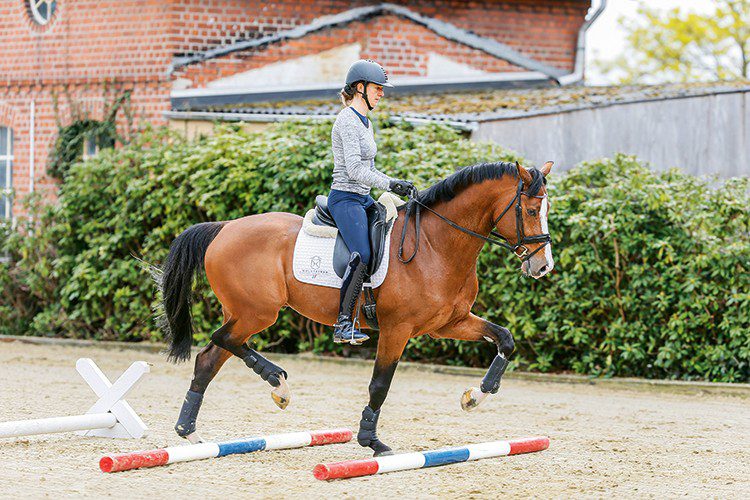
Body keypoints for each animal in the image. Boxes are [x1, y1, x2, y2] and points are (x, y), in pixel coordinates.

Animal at [159, 160, 556, 458]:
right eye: (531, 210)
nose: (543, 266)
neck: (435, 245)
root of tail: (224, 227)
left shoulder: (450, 323)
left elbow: (505, 339)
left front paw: (475, 396)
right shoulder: (398, 329)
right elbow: (380, 384)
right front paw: (372, 441)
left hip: (245, 313)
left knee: (210, 357)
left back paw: (192, 431)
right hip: (257, 313)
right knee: (220, 339)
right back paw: (276, 383)